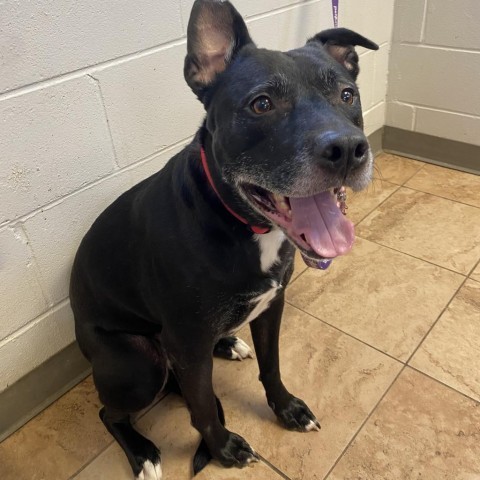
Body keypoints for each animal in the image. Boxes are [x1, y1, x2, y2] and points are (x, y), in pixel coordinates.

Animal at [70, 1, 378, 478]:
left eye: (347, 94)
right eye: (262, 103)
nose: (347, 149)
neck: (242, 225)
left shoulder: (271, 306)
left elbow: (271, 366)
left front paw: (286, 409)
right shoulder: (186, 341)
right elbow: (201, 409)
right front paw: (222, 447)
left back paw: (229, 342)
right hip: (139, 366)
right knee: (111, 411)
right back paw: (142, 452)